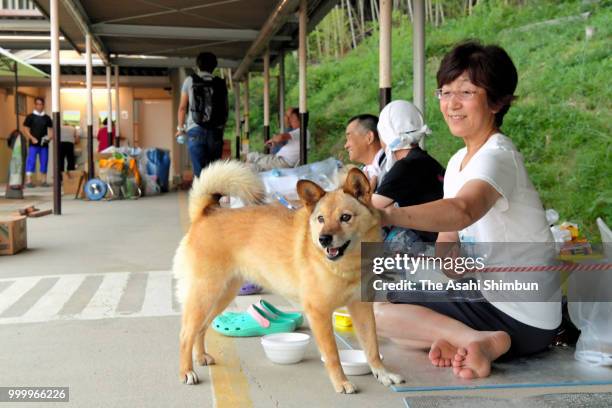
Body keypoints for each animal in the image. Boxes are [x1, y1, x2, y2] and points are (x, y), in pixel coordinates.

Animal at [173, 159, 402, 392]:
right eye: (320, 219)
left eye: (345, 217)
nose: (324, 239)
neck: (348, 265)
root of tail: (206, 212)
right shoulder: (318, 312)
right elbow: (332, 355)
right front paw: (341, 382)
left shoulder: (362, 308)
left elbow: (372, 347)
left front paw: (382, 374)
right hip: (204, 295)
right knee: (185, 334)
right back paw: (186, 371)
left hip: (221, 296)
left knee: (200, 329)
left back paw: (200, 357)